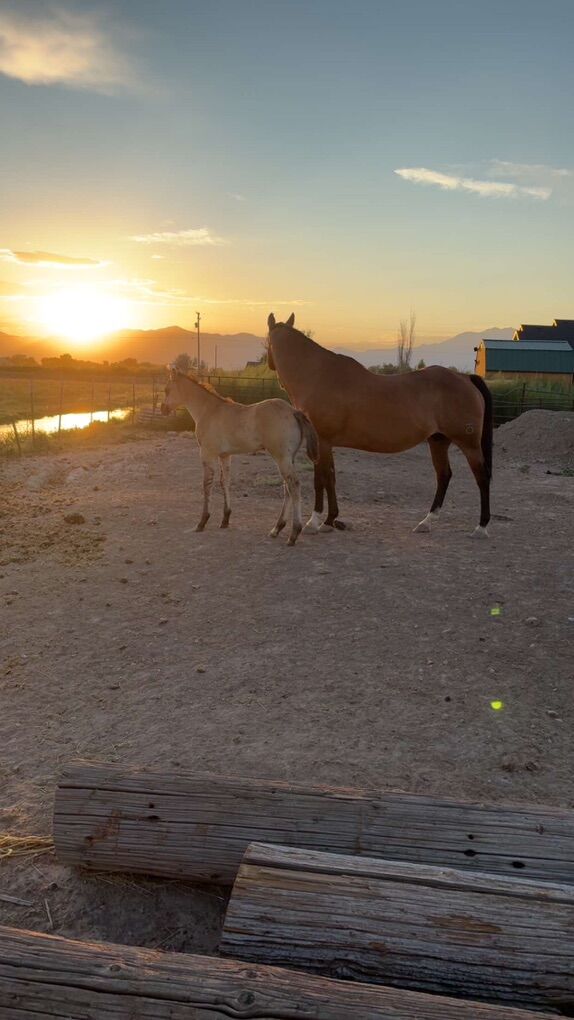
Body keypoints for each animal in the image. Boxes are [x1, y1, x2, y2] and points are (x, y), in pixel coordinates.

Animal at [161, 368, 319, 545]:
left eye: (167, 389)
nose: (163, 409)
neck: (209, 410)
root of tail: (293, 411)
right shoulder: (225, 455)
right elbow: (225, 482)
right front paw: (225, 519)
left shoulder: (207, 453)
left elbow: (207, 485)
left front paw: (202, 522)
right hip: (289, 458)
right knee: (287, 488)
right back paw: (277, 529)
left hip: (281, 457)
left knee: (294, 486)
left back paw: (293, 533)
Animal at [267, 313, 493, 538]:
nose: (269, 365)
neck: (317, 376)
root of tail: (465, 378)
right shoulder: (326, 444)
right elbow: (330, 478)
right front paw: (330, 520)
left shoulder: (322, 442)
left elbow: (321, 479)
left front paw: (316, 522)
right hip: (438, 441)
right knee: (444, 475)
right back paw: (426, 522)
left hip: (469, 444)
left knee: (481, 477)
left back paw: (481, 527)